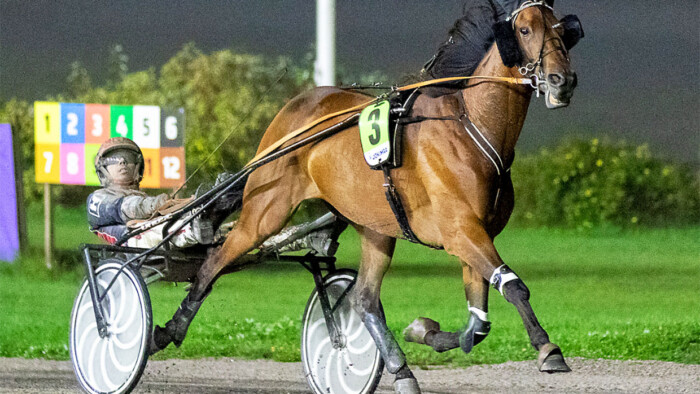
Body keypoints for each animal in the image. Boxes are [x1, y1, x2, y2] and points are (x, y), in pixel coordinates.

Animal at [153, 1, 580, 392]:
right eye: (524, 30)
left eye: (563, 29)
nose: (562, 80)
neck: (471, 127)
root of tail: (294, 110)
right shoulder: (460, 231)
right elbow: (513, 285)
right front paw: (548, 349)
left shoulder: (475, 234)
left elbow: (478, 322)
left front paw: (423, 330)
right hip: (265, 211)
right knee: (214, 262)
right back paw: (169, 329)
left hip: (375, 227)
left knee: (363, 300)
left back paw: (401, 371)